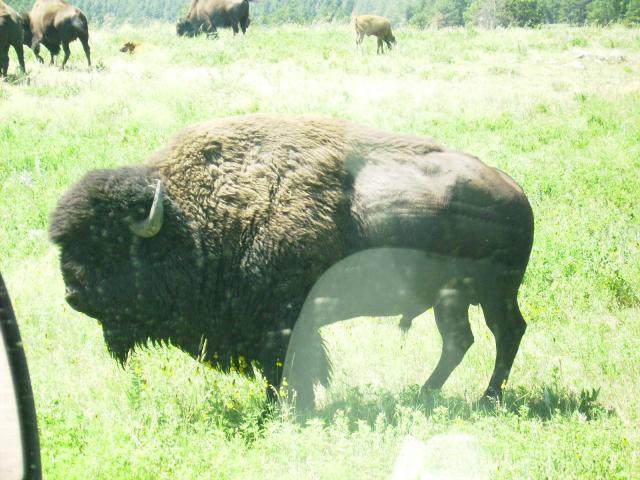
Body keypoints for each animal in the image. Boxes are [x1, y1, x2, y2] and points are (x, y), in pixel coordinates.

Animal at [50, 114, 534, 409]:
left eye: (110, 245)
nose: (73, 294)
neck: (186, 217)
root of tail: (515, 190)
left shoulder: (280, 322)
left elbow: (287, 366)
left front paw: (284, 407)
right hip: (450, 298)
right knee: (460, 341)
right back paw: (424, 393)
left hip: (494, 293)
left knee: (505, 333)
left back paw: (486, 398)